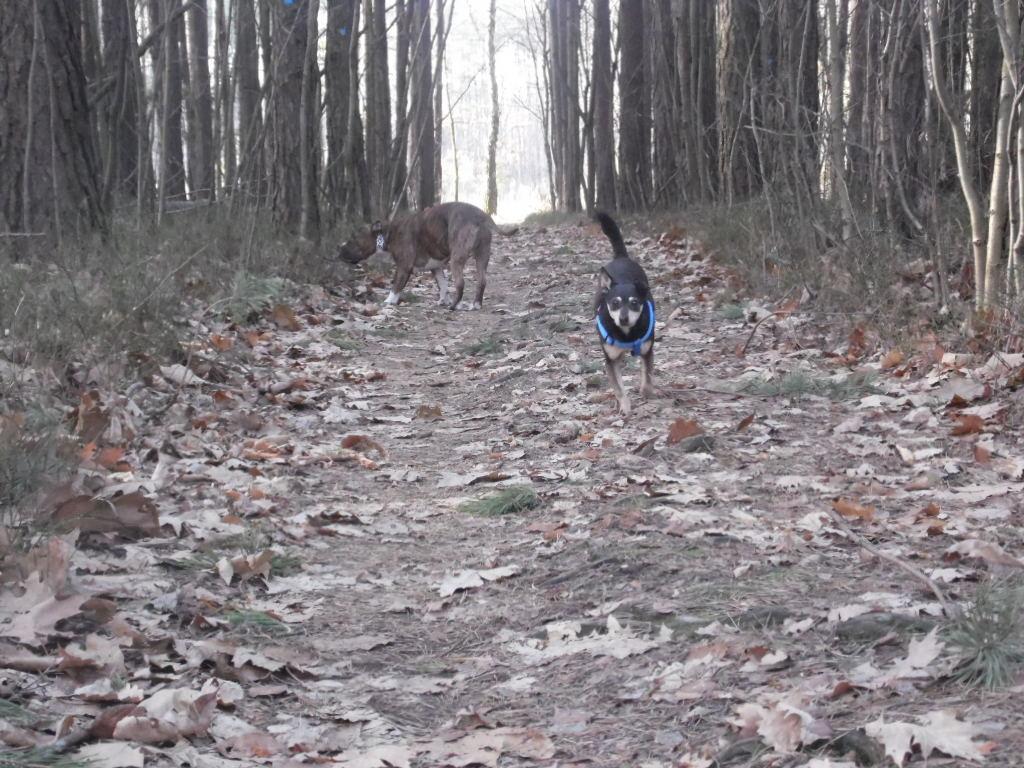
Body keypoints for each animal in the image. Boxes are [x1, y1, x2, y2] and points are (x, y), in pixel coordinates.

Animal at [338, 202, 503, 310]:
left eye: (352, 239)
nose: (340, 249)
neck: (388, 233)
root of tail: (480, 215)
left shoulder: (403, 266)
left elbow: (396, 286)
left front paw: (388, 301)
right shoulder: (436, 268)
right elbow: (443, 285)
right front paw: (443, 300)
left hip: (457, 258)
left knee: (460, 283)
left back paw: (454, 306)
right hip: (482, 255)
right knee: (482, 280)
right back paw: (476, 304)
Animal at [593, 212, 655, 416]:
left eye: (634, 303)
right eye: (614, 303)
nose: (623, 318)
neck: (627, 334)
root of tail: (621, 257)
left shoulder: (647, 350)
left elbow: (647, 374)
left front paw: (646, 391)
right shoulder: (611, 360)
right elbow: (619, 388)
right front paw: (626, 407)